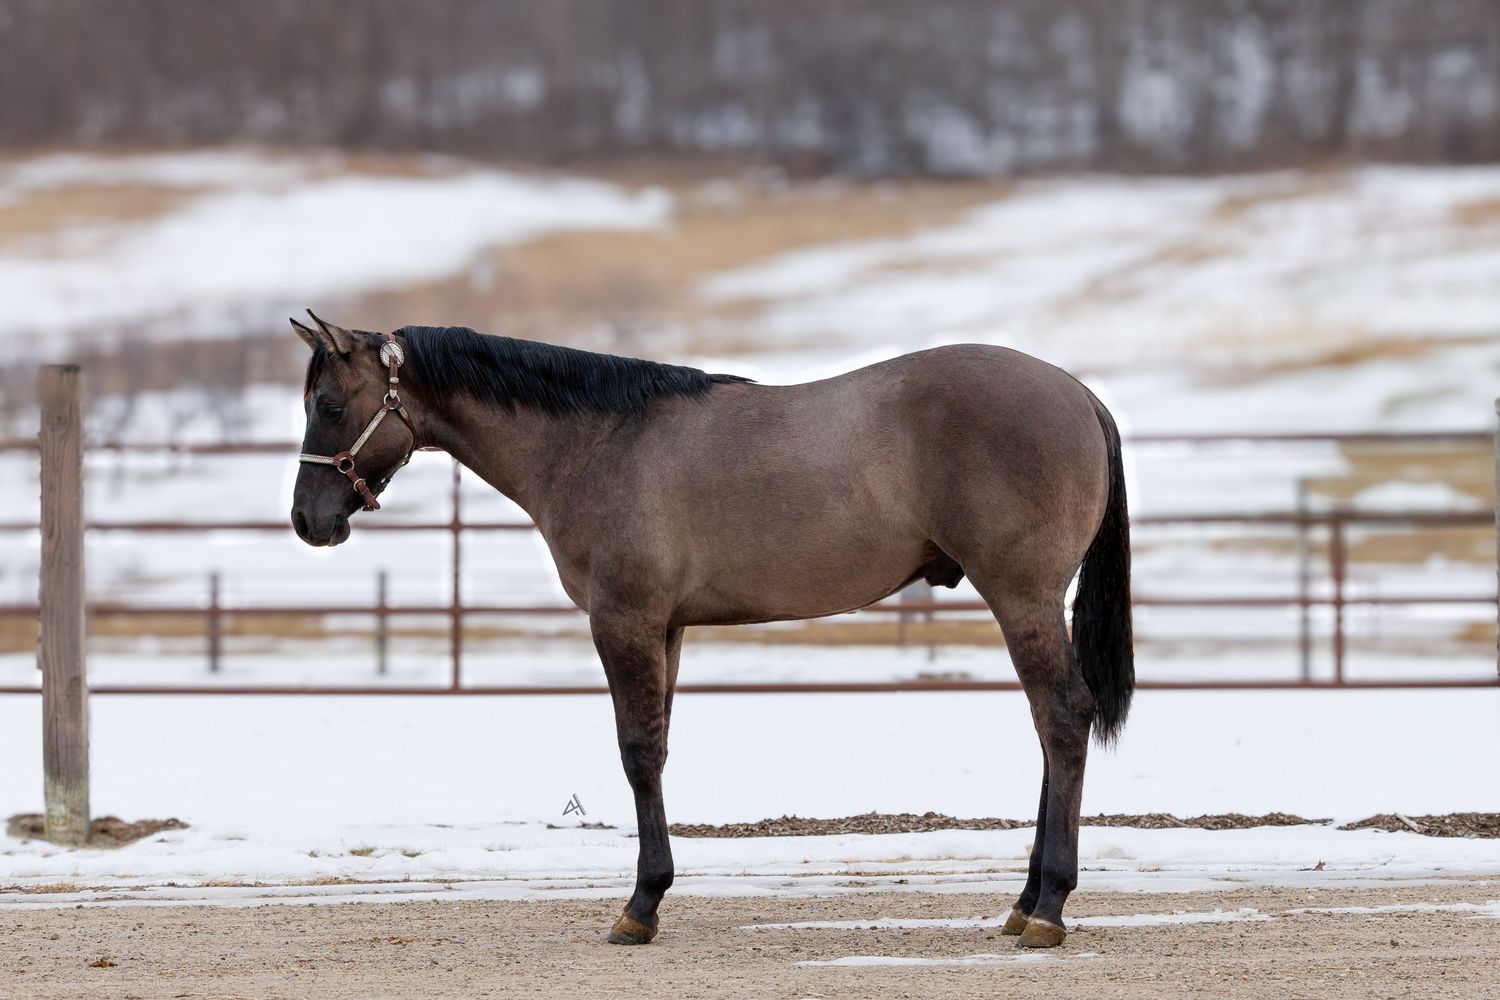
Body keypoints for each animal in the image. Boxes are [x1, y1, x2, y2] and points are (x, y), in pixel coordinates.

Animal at [288, 311, 1133, 949]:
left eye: (329, 404)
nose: (308, 521)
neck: (598, 442)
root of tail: (1077, 394)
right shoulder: (666, 628)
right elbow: (658, 749)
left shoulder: (623, 622)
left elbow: (635, 754)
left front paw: (640, 907)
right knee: (1049, 726)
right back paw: (1025, 900)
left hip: (1022, 596)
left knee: (1062, 718)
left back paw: (1049, 907)